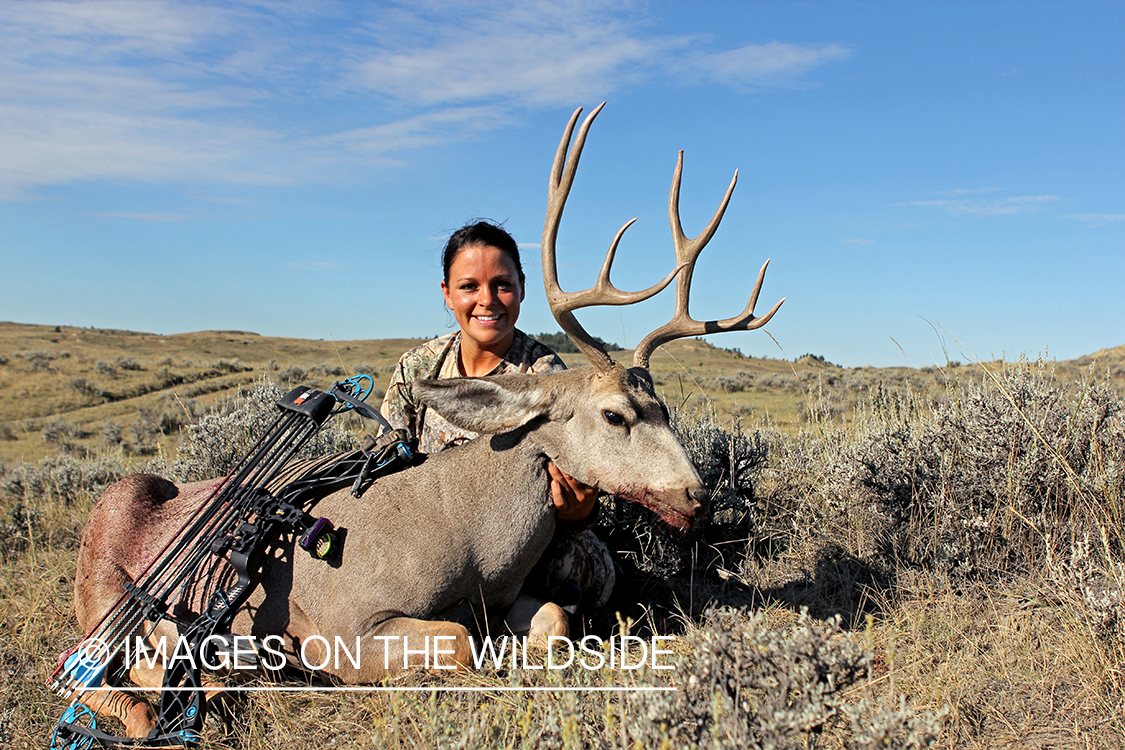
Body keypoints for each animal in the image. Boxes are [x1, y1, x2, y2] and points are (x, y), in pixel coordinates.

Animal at [66, 102, 783, 739]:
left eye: (665, 407)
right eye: (615, 414)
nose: (697, 495)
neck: (467, 541)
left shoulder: (507, 599)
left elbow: (554, 618)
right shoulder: (348, 623)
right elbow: (460, 641)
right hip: (100, 597)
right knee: (89, 673)